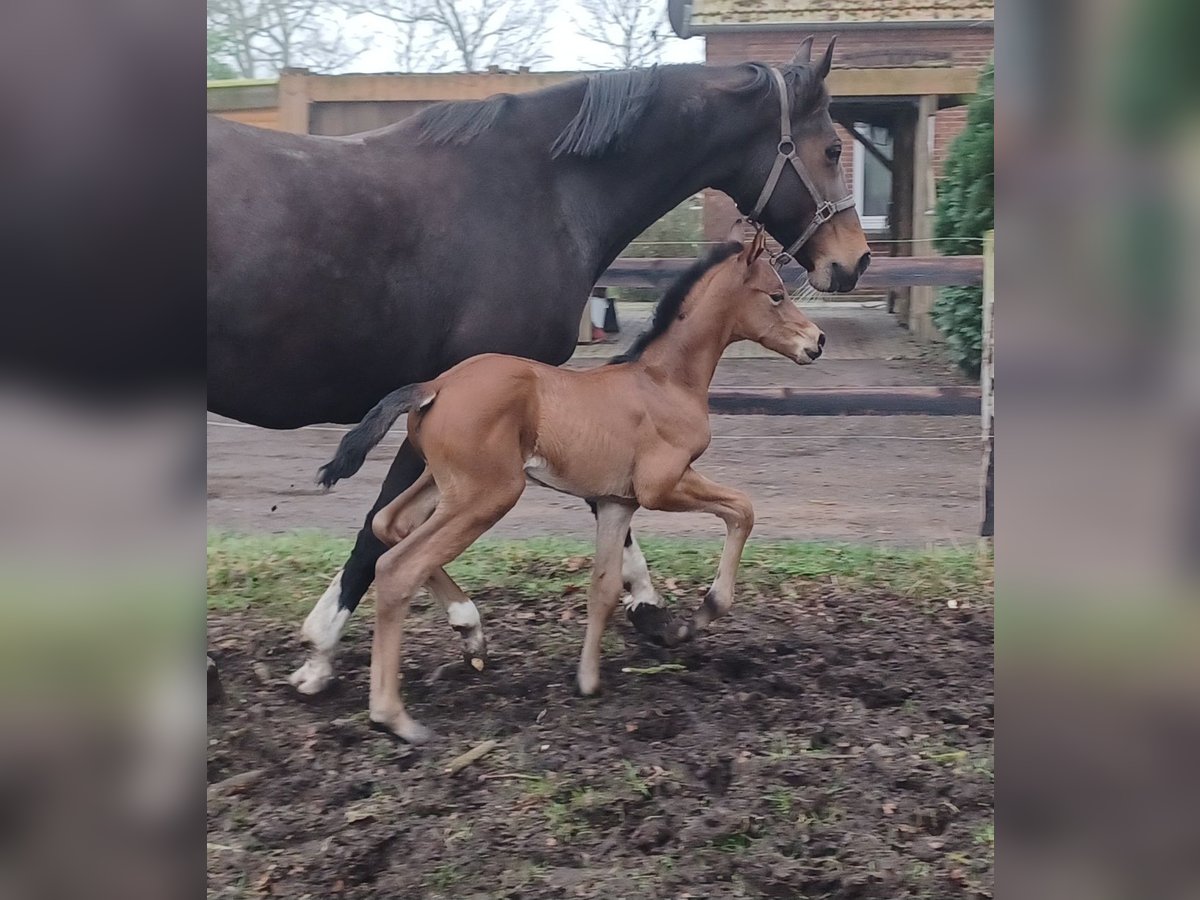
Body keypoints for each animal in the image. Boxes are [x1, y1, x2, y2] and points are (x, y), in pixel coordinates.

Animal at [319, 230, 825, 739]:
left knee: (388, 523)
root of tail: (433, 386)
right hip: (488, 494)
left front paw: (588, 681)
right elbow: (743, 508)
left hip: (442, 484)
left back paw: (470, 635)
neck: (664, 382)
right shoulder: (661, 487)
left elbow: (604, 586)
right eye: (776, 295)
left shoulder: (617, 502)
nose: (817, 341)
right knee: (398, 567)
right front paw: (702, 612)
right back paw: (395, 715)